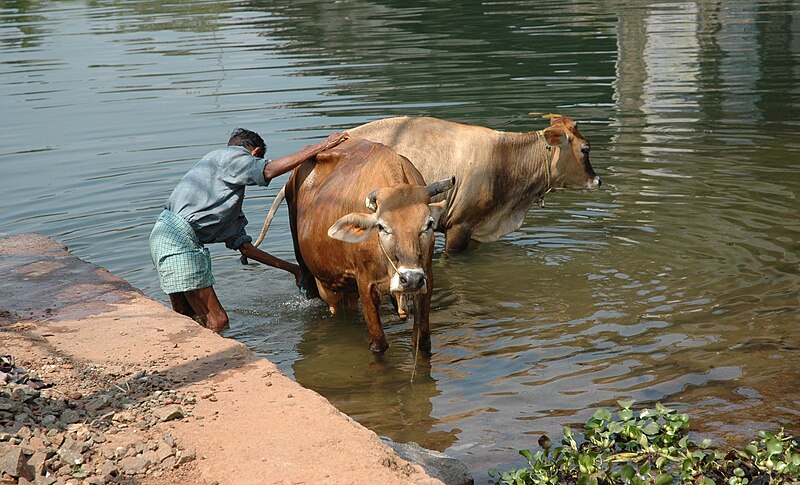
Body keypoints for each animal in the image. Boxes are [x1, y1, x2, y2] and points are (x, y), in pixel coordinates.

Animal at [286, 138, 450, 354]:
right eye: (382, 226)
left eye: (429, 224)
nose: (411, 279)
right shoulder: (364, 283)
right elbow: (378, 343)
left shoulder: (427, 277)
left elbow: (422, 342)